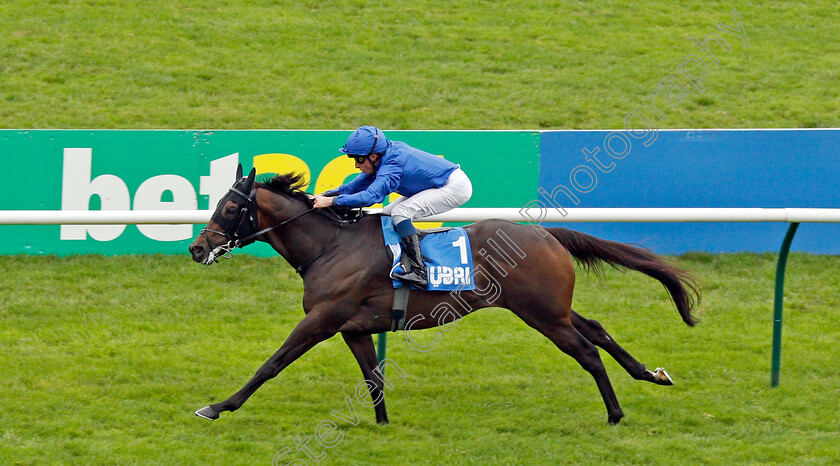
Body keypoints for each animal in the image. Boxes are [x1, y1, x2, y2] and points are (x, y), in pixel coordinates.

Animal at [187, 167, 700, 426]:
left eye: (230, 208)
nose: (196, 248)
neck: (330, 246)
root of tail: (546, 234)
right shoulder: (353, 328)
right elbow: (373, 377)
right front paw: (382, 424)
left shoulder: (321, 320)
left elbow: (271, 364)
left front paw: (217, 406)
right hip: (553, 307)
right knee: (597, 329)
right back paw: (651, 375)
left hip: (542, 314)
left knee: (588, 351)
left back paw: (615, 414)